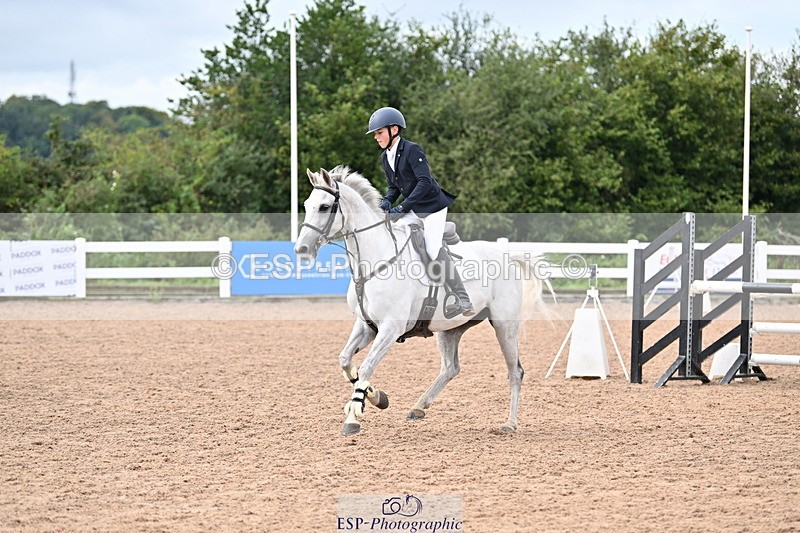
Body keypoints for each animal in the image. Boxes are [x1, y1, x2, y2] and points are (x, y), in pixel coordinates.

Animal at [295, 166, 549, 436]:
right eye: (307, 205)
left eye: (324, 207)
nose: (301, 249)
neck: (375, 260)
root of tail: (508, 255)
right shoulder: (366, 325)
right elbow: (345, 361)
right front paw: (376, 397)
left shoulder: (391, 328)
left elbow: (366, 366)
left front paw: (354, 415)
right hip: (451, 329)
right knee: (450, 368)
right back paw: (418, 407)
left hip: (504, 326)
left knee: (515, 371)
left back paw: (509, 423)